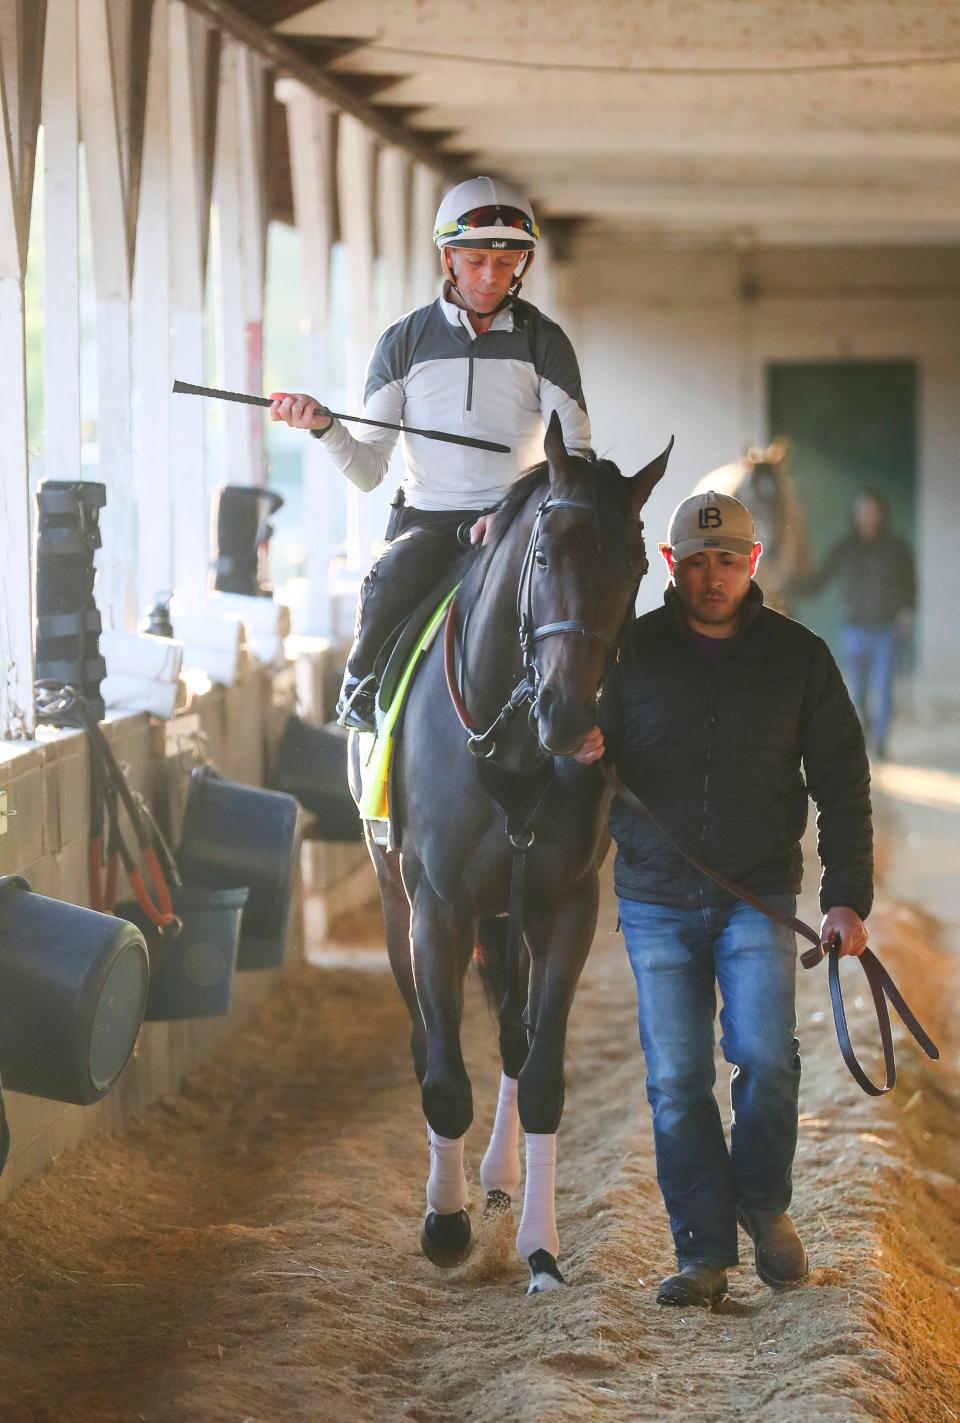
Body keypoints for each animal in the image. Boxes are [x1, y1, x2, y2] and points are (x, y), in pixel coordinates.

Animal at [349, 412, 671, 1292]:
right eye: (546, 552)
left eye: (635, 564)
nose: (568, 713)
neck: (513, 741)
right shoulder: (437, 909)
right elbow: (442, 1079)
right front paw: (444, 1222)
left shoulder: (565, 907)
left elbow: (543, 1078)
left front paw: (539, 1246)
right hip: (399, 900)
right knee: (432, 1037)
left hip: (508, 910)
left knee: (512, 1037)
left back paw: (496, 1178)